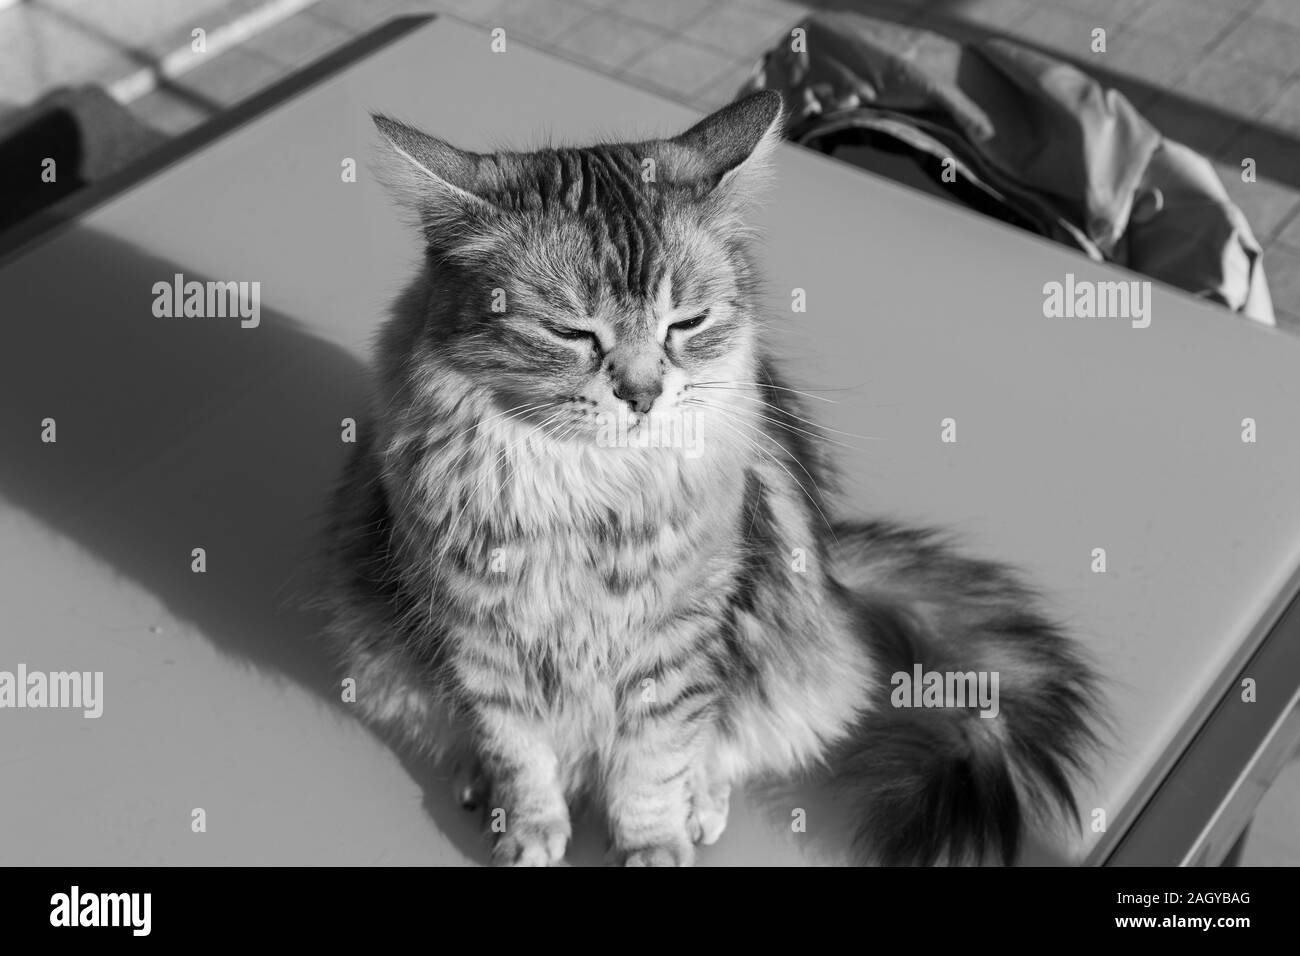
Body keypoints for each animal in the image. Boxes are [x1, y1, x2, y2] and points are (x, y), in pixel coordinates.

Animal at [319, 91, 1102, 868]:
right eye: (570, 333)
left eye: (685, 323)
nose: (641, 395)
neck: (588, 495)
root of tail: (839, 576)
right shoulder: (479, 643)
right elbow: (520, 756)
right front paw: (528, 832)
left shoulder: (675, 643)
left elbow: (653, 767)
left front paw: (653, 845)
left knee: (726, 750)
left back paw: (700, 807)